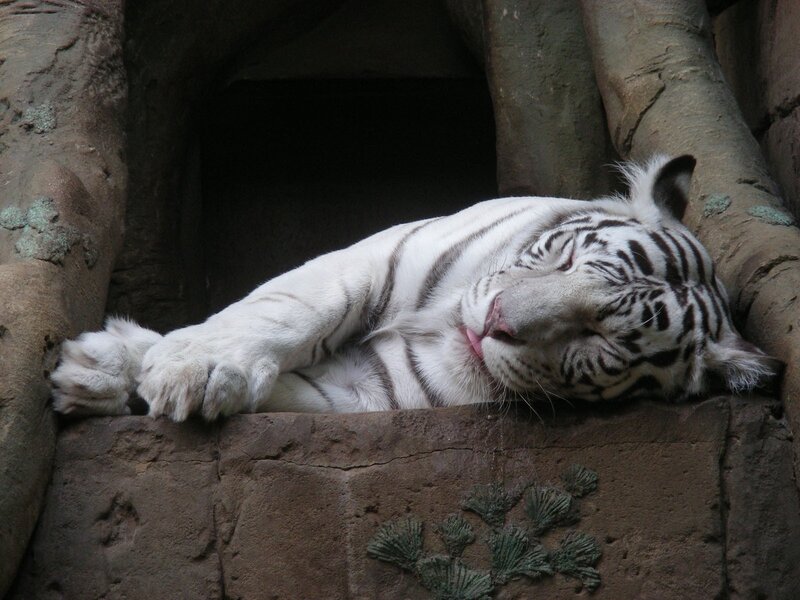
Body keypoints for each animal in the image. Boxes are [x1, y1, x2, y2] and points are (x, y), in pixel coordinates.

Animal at [51, 155, 780, 421]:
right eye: (567, 259)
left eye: (598, 337)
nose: (493, 322)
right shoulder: (378, 256)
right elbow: (288, 309)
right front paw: (185, 368)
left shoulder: (366, 393)